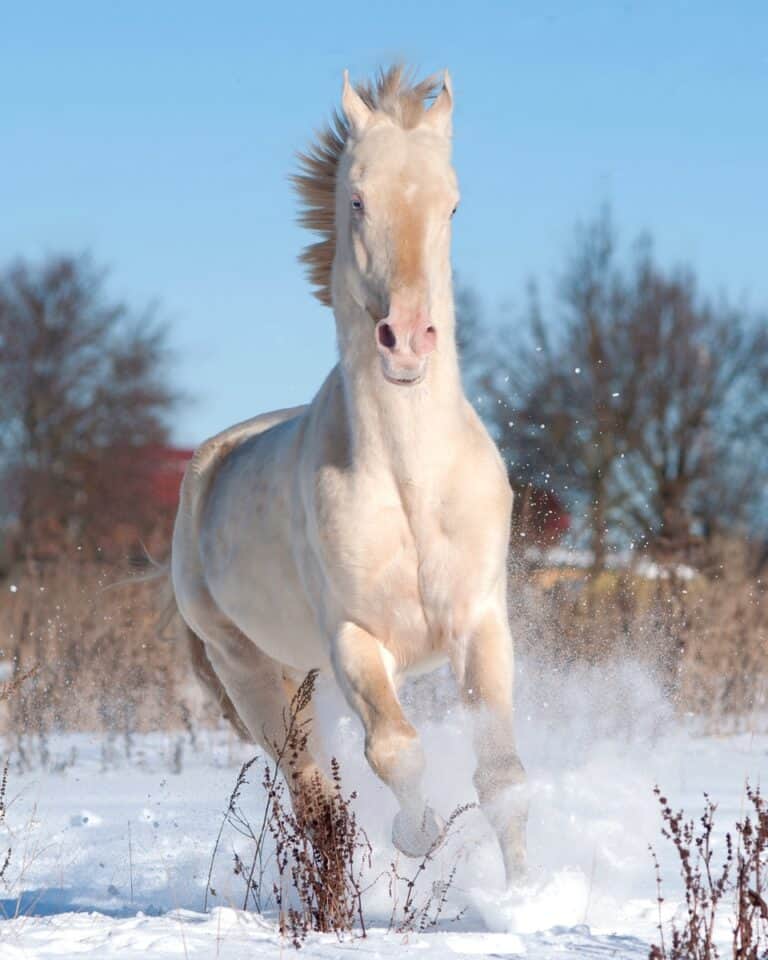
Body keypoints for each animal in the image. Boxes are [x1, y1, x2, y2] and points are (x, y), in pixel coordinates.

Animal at [171, 65, 527, 882]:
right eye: (357, 198)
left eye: (453, 202)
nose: (407, 340)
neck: (412, 484)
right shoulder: (355, 638)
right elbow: (396, 749)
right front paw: (418, 838)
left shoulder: (480, 623)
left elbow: (503, 777)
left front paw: (535, 894)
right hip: (249, 674)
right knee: (312, 795)